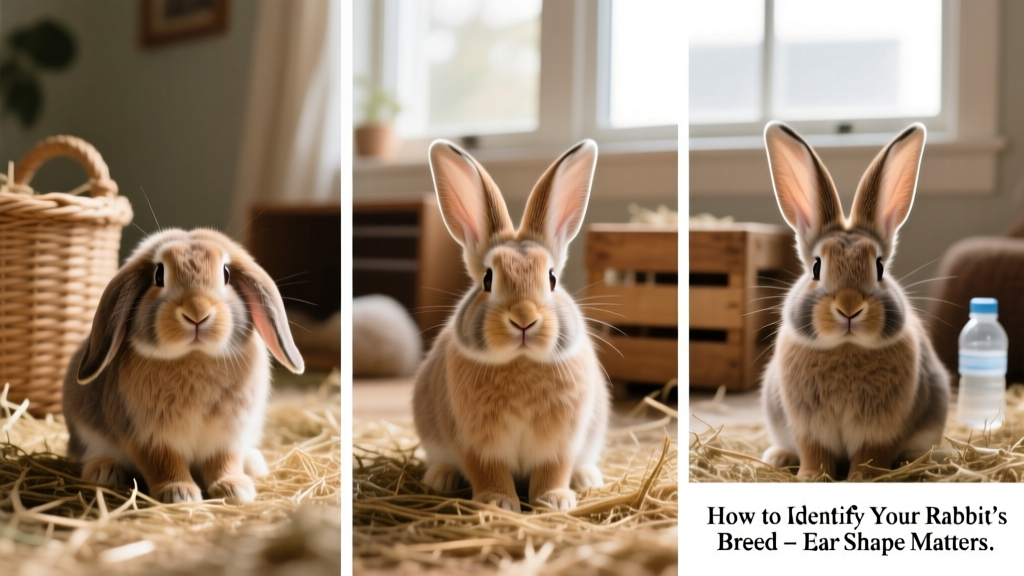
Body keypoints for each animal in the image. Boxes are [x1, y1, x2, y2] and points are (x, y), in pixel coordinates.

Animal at [62, 228, 305, 503]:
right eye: (159, 274)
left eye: (226, 273)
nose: (197, 312)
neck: (194, 356)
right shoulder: (149, 438)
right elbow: (164, 464)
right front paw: (179, 493)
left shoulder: (226, 436)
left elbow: (225, 462)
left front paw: (234, 488)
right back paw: (104, 470)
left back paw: (254, 464)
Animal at [413, 139, 609, 512]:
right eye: (488, 279)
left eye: (552, 279)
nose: (523, 319)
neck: (520, 362)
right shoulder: (474, 443)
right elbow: (487, 470)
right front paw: (498, 502)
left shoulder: (560, 443)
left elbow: (553, 469)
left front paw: (554, 500)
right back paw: (440, 478)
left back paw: (586, 478)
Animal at [760, 121, 950, 481]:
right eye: (816, 267)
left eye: (879, 267)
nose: (849, 308)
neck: (846, 349)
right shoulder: (809, 428)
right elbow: (814, 453)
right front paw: (810, 477)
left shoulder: (881, 431)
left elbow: (870, 456)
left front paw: (863, 478)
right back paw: (776, 457)